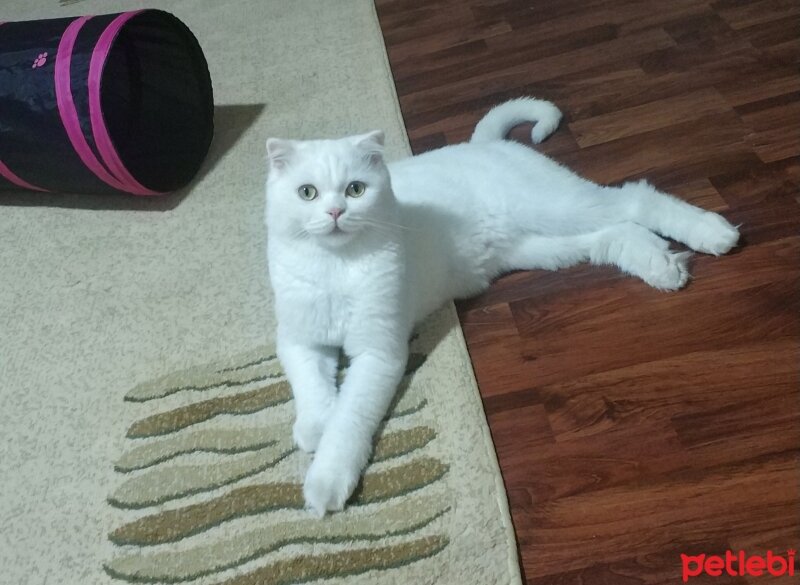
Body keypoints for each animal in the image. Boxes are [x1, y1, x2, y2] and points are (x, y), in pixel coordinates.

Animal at [266, 97, 740, 516]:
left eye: (356, 189)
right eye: (306, 193)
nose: (334, 212)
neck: (335, 265)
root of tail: (481, 143)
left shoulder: (379, 352)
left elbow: (350, 419)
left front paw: (326, 480)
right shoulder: (297, 341)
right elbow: (311, 385)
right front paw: (315, 426)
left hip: (556, 211)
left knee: (635, 199)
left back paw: (712, 233)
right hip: (543, 247)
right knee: (618, 233)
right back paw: (661, 266)